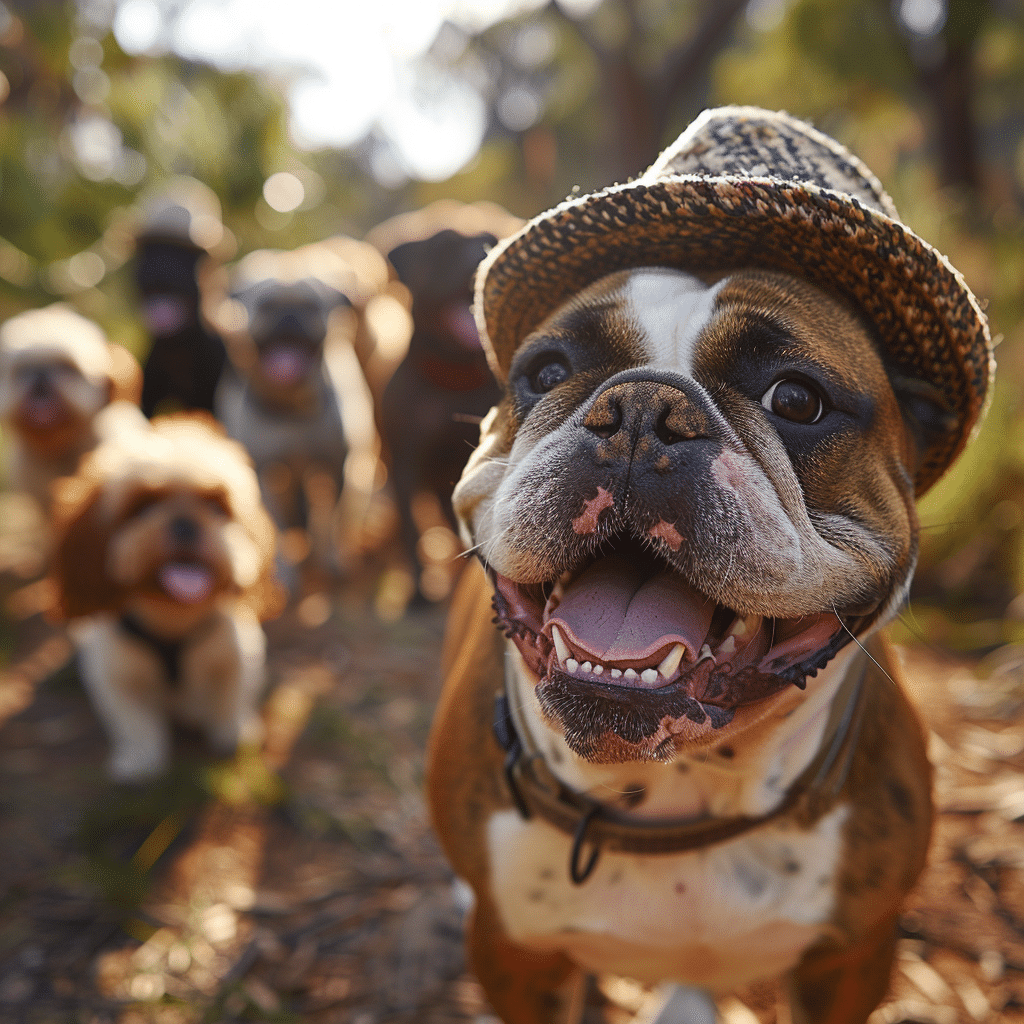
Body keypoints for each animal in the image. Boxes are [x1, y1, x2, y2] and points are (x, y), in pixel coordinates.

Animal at [49, 403, 284, 778]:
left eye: (216, 506)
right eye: (142, 506)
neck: (173, 617)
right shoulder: (116, 677)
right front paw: (140, 759)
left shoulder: (235, 658)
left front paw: (233, 732)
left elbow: (228, 699)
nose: (185, 522)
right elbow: (136, 722)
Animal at [366, 201, 520, 606]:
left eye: (490, 239)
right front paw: (419, 592)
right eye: (444, 247)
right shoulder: (406, 467)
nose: (477, 259)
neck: (455, 378)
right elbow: (410, 531)